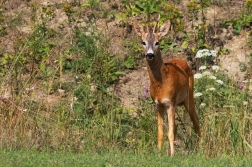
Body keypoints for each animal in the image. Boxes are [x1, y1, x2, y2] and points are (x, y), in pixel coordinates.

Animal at [134, 19, 201, 157]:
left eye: (157, 42)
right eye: (143, 42)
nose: (150, 55)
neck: (161, 85)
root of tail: (184, 61)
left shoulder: (170, 102)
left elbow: (170, 132)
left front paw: (173, 155)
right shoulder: (158, 104)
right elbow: (161, 132)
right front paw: (160, 154)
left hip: (189, 97)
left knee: (196, 122)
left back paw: (199, 150)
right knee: (177, 127)